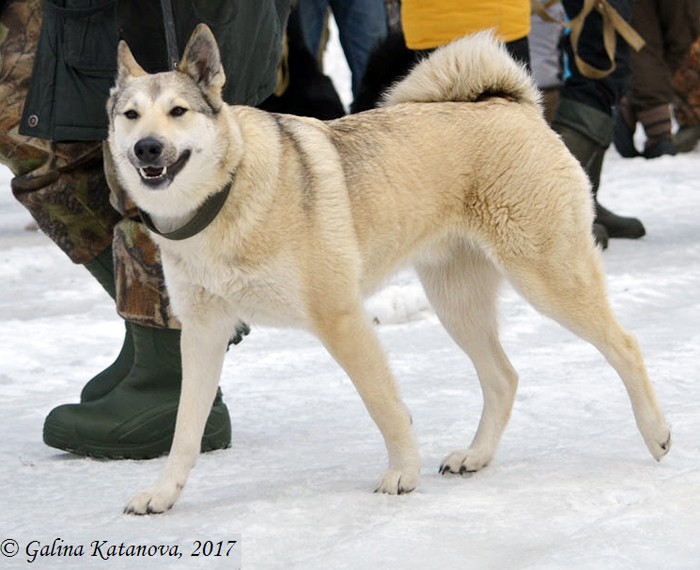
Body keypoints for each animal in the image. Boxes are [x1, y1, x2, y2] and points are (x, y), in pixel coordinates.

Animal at [106, 24, 671, 514]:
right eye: (130, 115)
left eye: (178, 111)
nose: (147, 147)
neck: (226, 195)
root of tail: (509, 104)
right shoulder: (203, 332)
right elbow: (184, 430)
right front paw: (162, 494)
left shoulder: (341, 319)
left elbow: (384, 405)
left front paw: (403, 473)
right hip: (456, 303)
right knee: (504, 377)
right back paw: (476, 455)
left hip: (546, 276)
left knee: (625, 346)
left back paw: (656, 433)